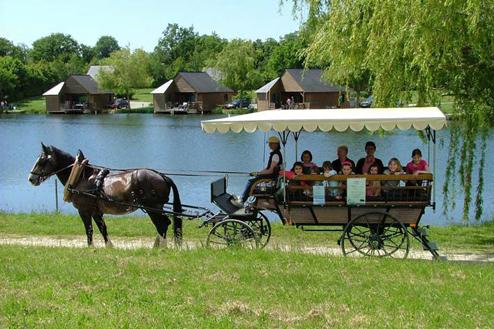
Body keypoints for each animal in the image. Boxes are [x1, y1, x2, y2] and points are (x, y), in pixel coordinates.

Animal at [27, 142, 181, 247]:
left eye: (41, 160)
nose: (31, 178)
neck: (81, 177)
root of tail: (162, 176)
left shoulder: (84, 211)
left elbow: (89, 230)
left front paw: (91, 248)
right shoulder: (96, 212)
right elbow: (103, 229)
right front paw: (109, 247)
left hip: (152, 207)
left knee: (162, 224)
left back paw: (161, 247)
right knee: (163, 224)